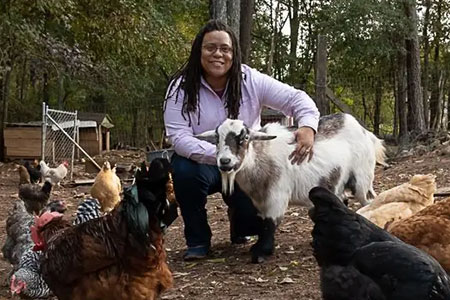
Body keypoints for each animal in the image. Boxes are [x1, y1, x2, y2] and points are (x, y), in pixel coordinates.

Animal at [197, 112, 386, 262]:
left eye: (244, 138)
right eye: (217, 139)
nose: (225, 161)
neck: (261, 156)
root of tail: (366, 132)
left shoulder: (277, 194)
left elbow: (270, 222)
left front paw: (262, 252)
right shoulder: (260, 199)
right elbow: (263, 221)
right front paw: (258, 247)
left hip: (362, 179)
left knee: (370, 201)